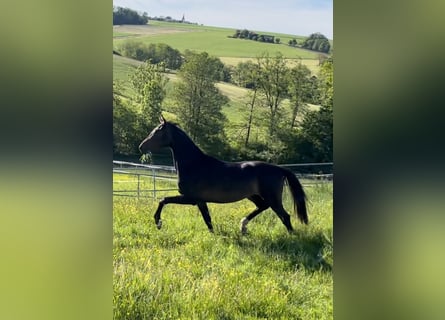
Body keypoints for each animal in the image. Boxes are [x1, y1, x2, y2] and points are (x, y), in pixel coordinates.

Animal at [137, 115, 306, 232]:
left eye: (157, 132)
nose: (141, 147)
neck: (194, 164)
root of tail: (279, 169)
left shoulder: (191, 199)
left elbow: (163, 200)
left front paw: (158, 222)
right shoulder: (200, 201)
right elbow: (208, 220)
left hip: (273, 198)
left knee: (285, 216)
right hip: (253, 195)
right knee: (263, 206)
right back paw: (243, 226)